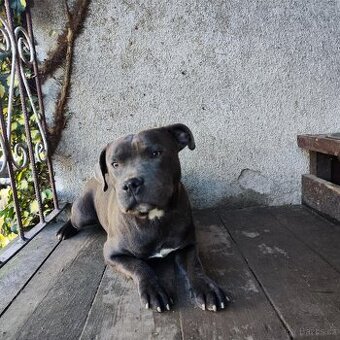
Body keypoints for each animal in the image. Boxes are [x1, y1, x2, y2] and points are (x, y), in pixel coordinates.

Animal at [57, 123, 228, 312]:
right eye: (115, 164)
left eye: (155, 153)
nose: (131, 183)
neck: (153, 217)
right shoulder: (113, 254)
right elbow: (140, 266)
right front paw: (154, 291)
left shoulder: (187, 245)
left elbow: (194, 266)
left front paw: (207, 289)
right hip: (83, 214)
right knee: (74, 218)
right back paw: (64, 230)